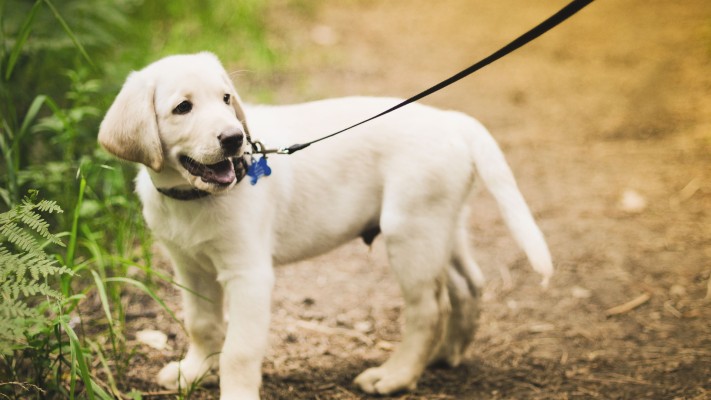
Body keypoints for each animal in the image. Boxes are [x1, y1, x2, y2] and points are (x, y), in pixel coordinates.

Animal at [98, 53, 556, 400]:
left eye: (226, 99)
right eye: (183, 108)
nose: (234, 139)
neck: (192, 198)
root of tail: (451, 120)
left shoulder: (248, 274)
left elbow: (240, 349)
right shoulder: (189, 266)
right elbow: (202, 325)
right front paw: (191, 373)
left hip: (411, 231)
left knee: (428, 308)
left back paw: (395, 376)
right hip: (443, 224)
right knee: (468, 285)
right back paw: (447, 354)